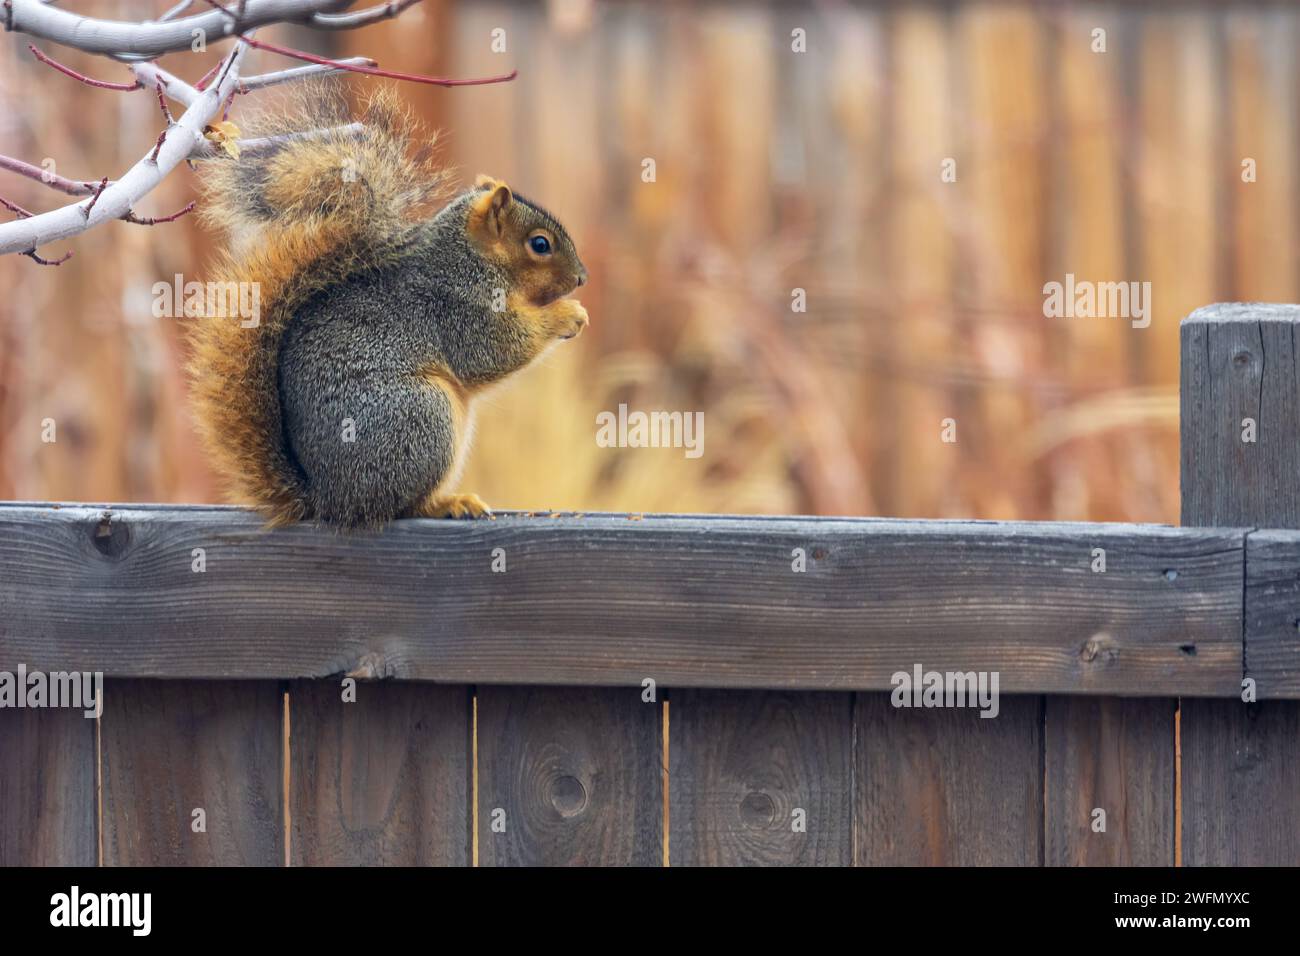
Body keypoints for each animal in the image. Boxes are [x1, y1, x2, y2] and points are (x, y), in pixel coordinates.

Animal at [187, 86, 589, 530]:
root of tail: (329, 500)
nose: (581, 278)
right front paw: (568, 314)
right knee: (402, 506)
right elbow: (495, 350)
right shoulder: (458, 308)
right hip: (421, 416)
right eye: (540, 244)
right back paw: (448, 503)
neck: (470, 257)